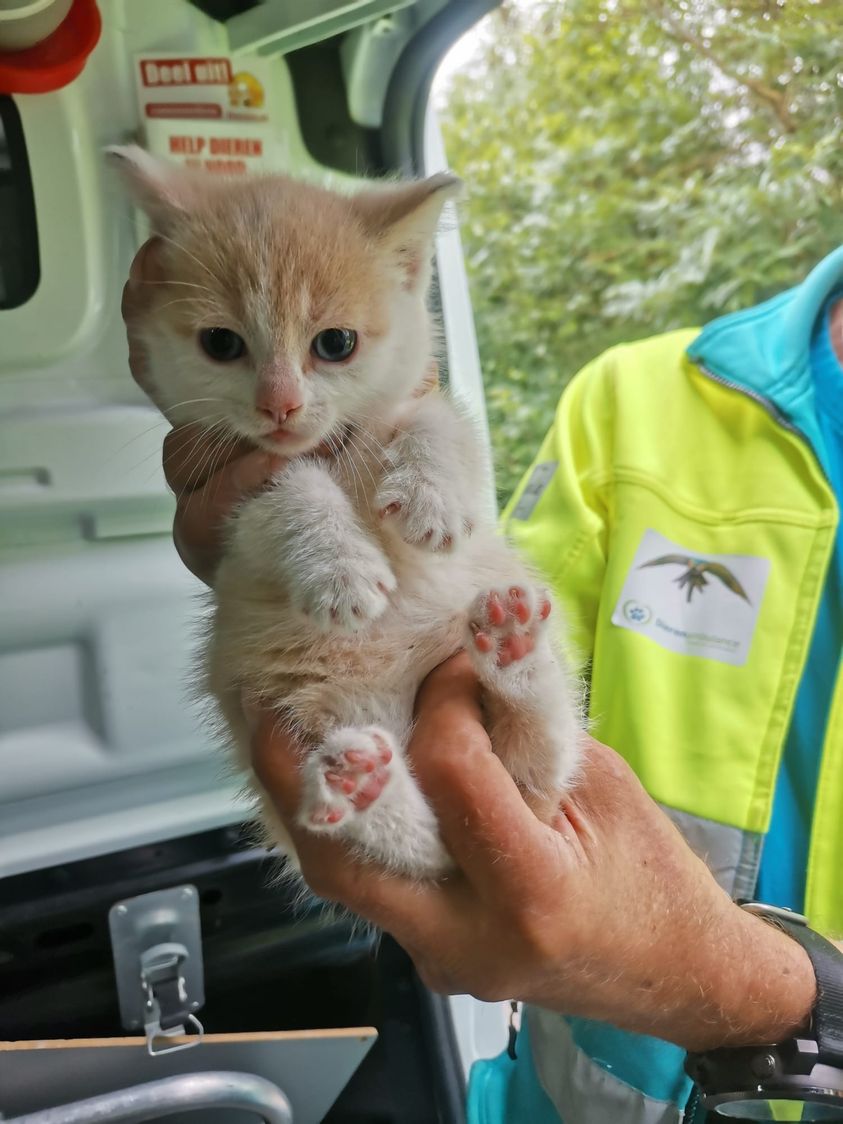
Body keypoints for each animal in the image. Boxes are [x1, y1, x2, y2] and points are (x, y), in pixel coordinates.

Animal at [112, 142, 584, 876]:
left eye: (335, 343)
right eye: (221, 344)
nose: (279, 405)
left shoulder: (424, 405)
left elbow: (437, 427)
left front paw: (431, 499)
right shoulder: (237, 510)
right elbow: (292, 492)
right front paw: (341, 570)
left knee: (532, 766)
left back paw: (514, 656)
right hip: (304, 718)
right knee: (428, 848)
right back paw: (361, 788)